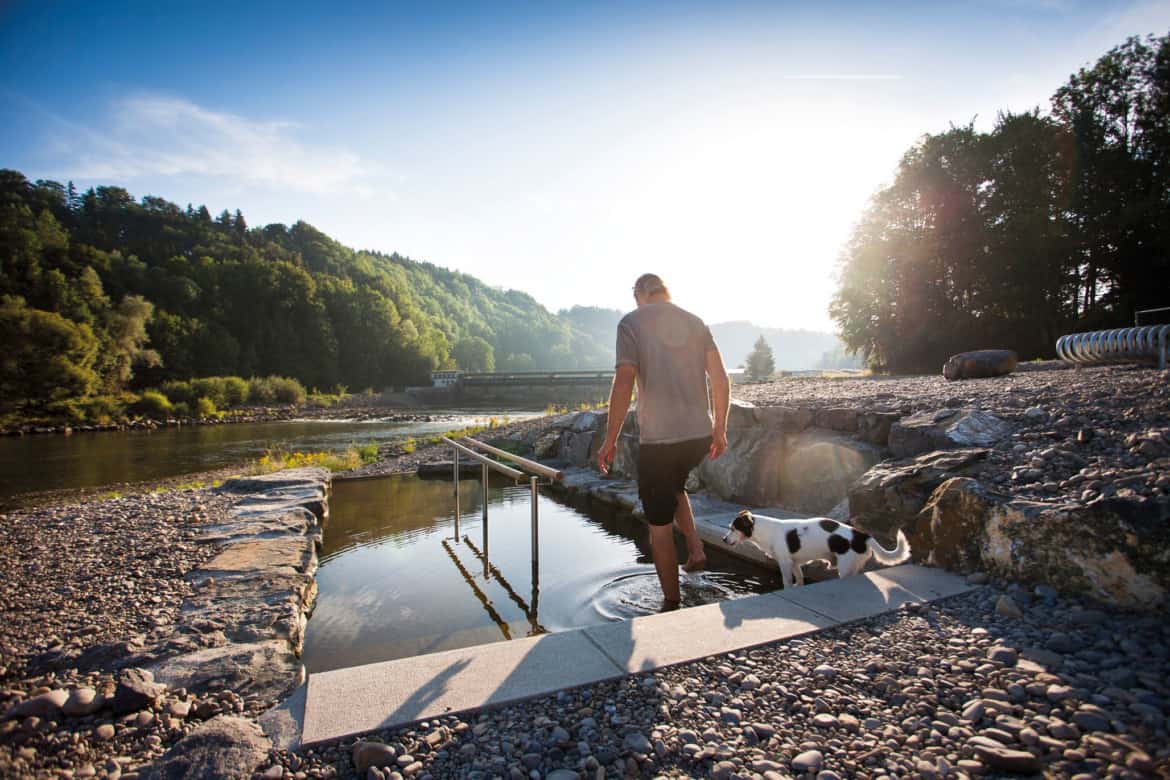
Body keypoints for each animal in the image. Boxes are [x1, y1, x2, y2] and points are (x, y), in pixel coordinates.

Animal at [720, 512, 912, 584]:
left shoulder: (785, 563)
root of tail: (862, 535)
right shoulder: (795, 563)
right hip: (854, 566)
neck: (766, 531)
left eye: (733, 529)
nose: (723, 539)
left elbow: (787, 581)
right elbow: (799, 578)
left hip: (845, 566)